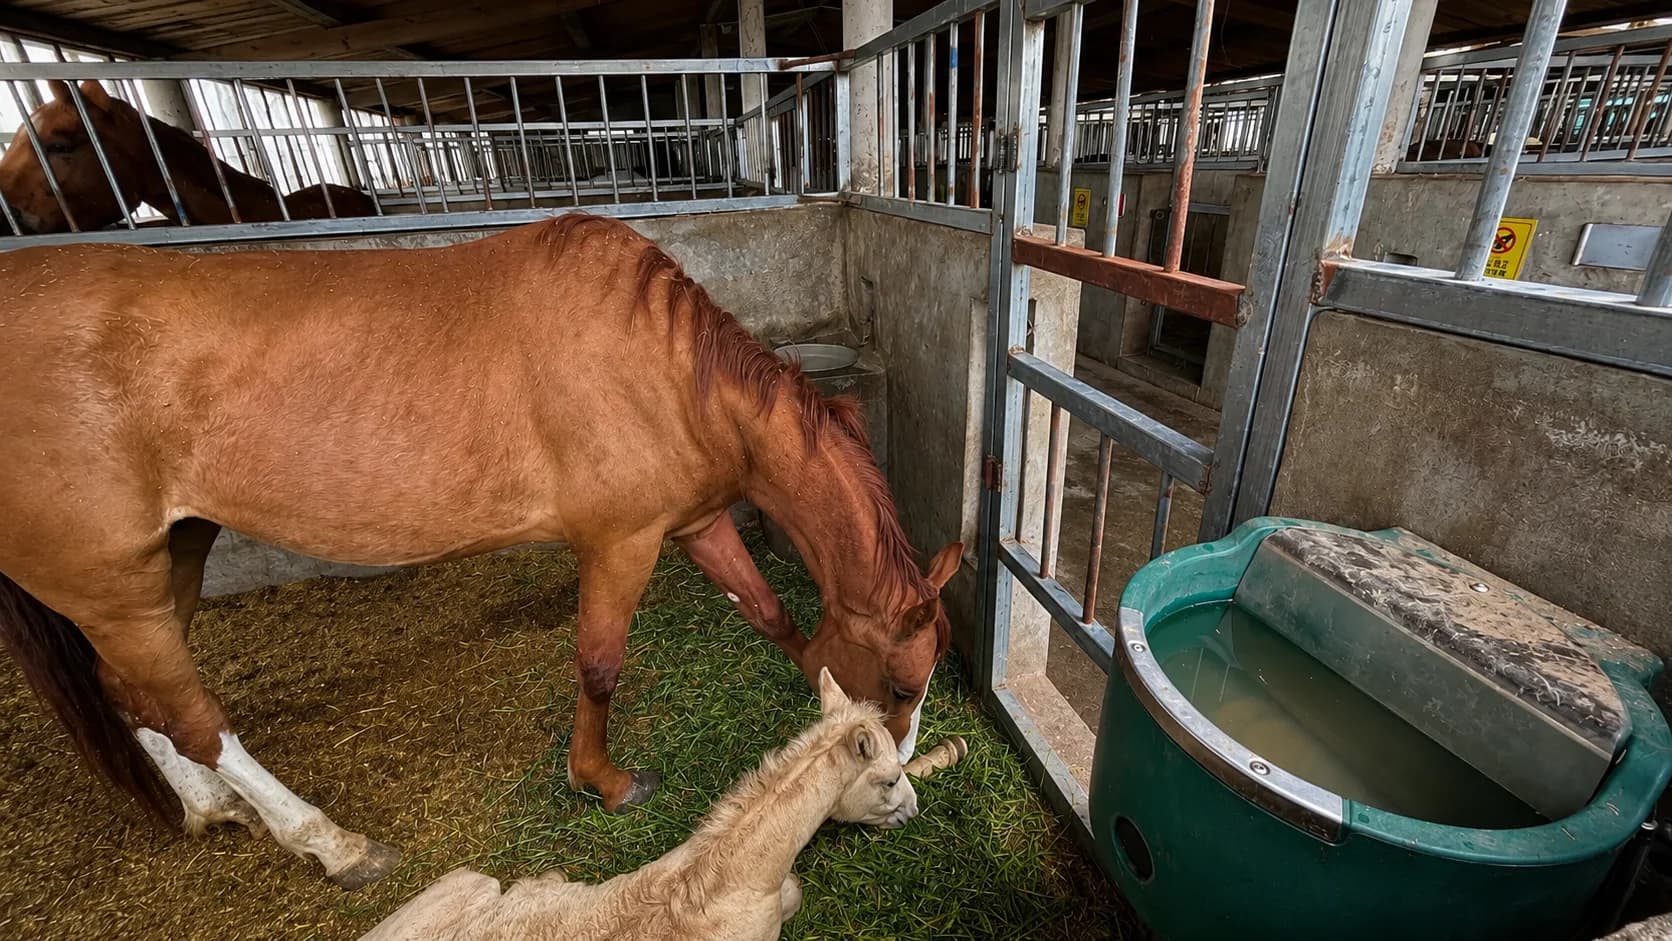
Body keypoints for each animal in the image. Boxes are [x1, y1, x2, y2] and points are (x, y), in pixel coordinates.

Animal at [0, 212, 961, 890]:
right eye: (901, 687)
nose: (902, 773)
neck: (667, 371)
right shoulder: (621, 543)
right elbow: (600, 663)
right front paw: (603, 778)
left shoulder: (693, 522)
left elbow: (771, 613)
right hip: (114, 585)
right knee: (193, 717)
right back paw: (332, 843)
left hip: (168, 557)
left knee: (135, 695)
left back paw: (208, 807)